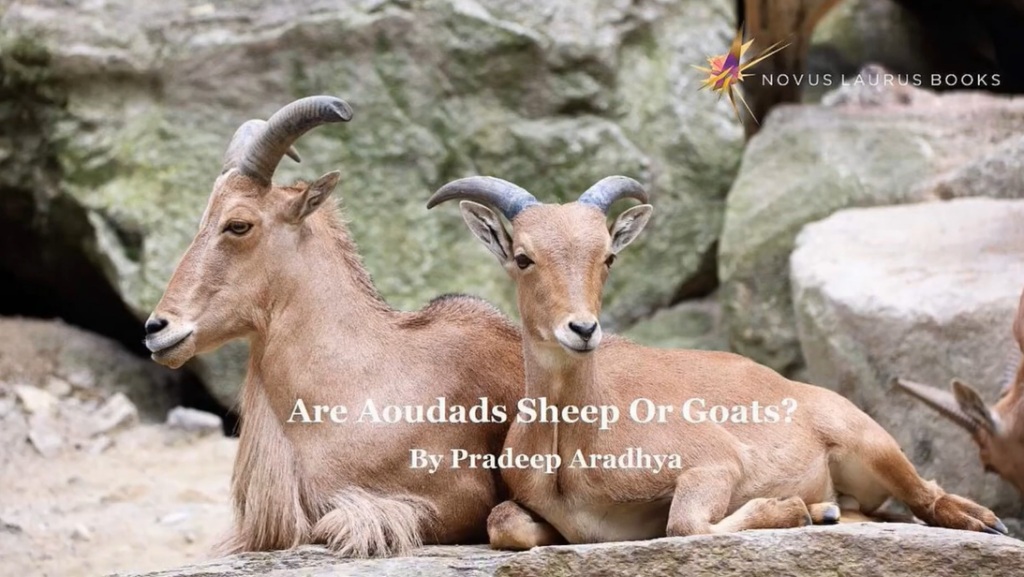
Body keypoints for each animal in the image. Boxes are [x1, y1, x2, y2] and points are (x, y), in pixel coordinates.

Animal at [428, 176, 1007, 548]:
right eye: (523, 257)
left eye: (607, 256)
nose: (584, 329)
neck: (573, 444)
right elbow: (501, 523)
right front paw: (808, 510)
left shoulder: (712, 461)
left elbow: (684, 523)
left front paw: (791, 509)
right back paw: (830, 510)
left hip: (867, 437)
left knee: (927, 495)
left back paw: (984, 521)